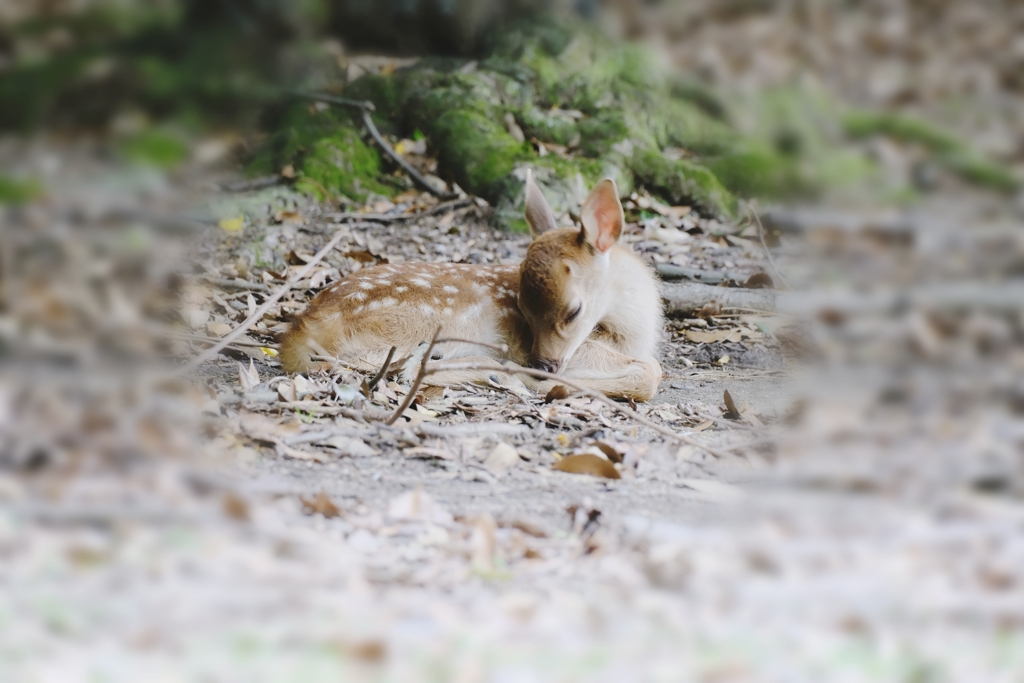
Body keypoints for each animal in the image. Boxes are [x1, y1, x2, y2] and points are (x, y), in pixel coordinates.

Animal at [282, 174, 663, 403]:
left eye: (573, 311)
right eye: (524, 313)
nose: (541, 366)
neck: (632, 331)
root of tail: (306, 323)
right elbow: (651, 372)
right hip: (429, 321)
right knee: (401, 367)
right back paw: (500, 376)